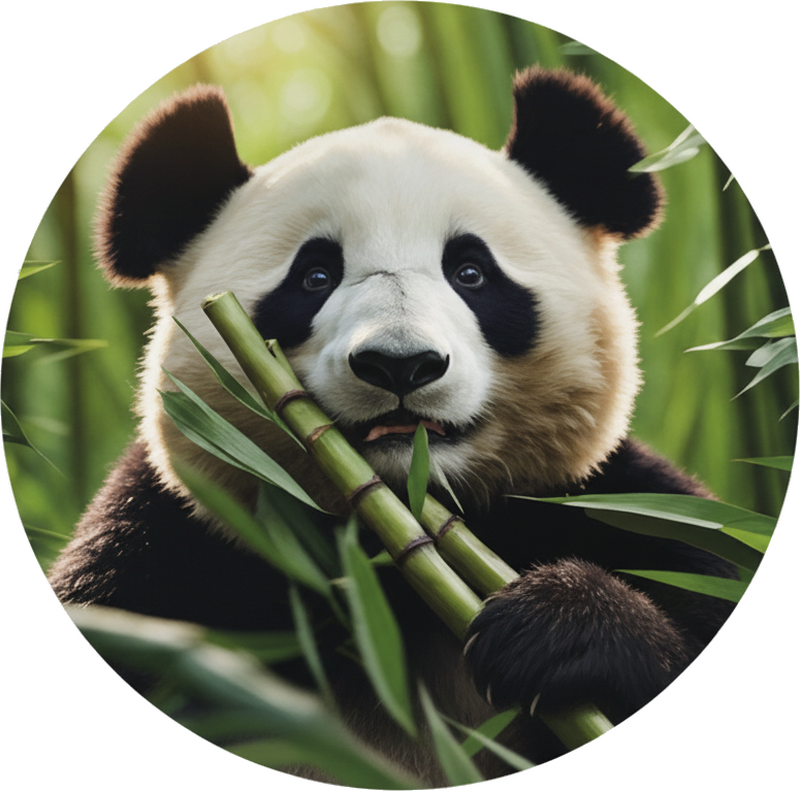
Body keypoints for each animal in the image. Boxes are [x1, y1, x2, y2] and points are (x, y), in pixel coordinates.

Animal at [48, 67, 737, 781]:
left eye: (471, 272)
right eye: (315, 276)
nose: (400, 364)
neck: (389, 553)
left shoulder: (611, 505)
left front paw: (557, 626)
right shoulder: (182, 546)